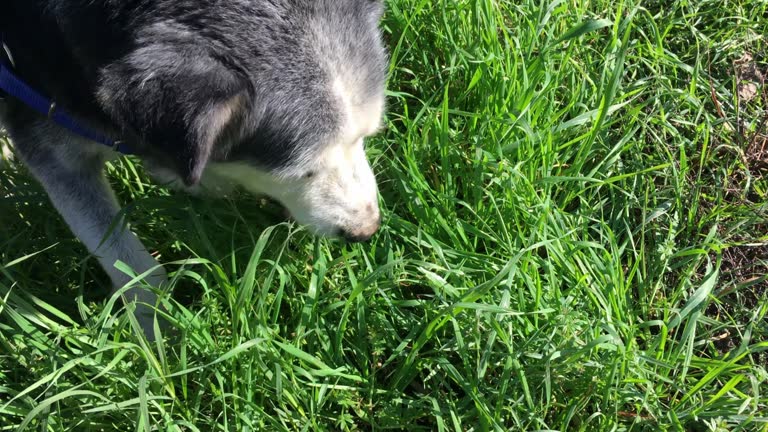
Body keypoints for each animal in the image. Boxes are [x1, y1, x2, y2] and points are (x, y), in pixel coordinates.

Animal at [0, 0, 388, 340]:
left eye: (366, 137)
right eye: (303, 173)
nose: (366, 231)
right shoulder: (48, 139)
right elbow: (121, 253)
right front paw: (160, 328)